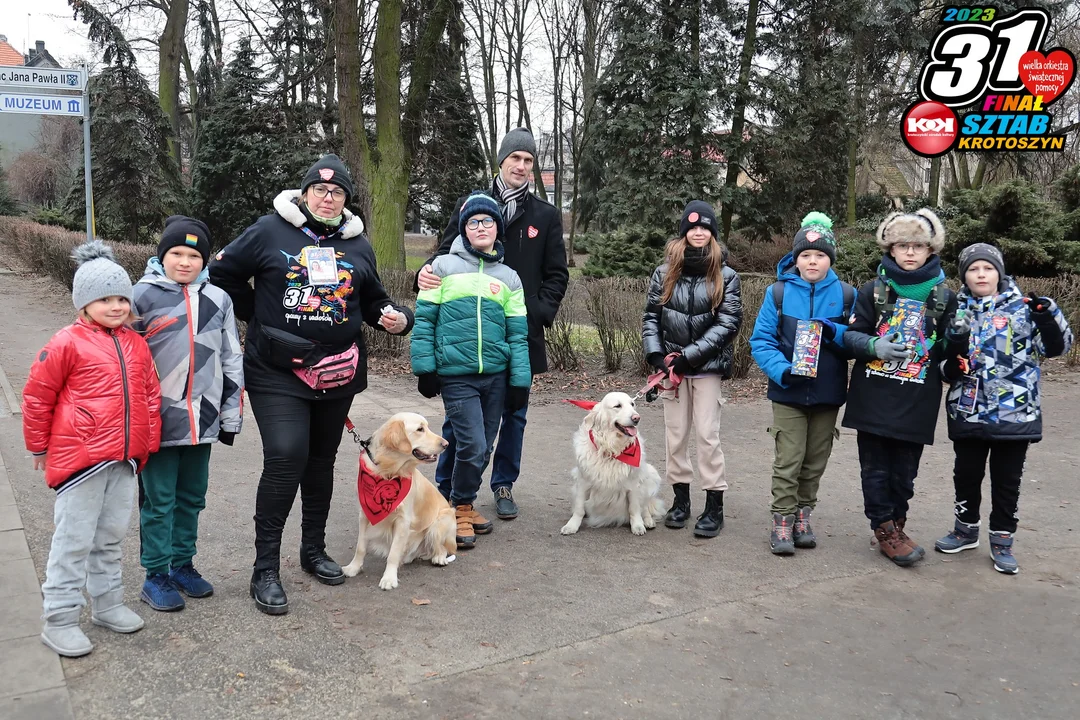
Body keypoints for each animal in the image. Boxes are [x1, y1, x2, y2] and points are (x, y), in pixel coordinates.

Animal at [557, 395, 665, 535]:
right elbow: (579, 508)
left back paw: (647, 521)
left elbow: (634, 508)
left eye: (632, 404)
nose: (637, 418)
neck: (611, 449)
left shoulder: (634, 483)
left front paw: (637, 526)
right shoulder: (582, 481)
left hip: (650, 473)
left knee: (645, 506)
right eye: (617, 406)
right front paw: (572, 525)